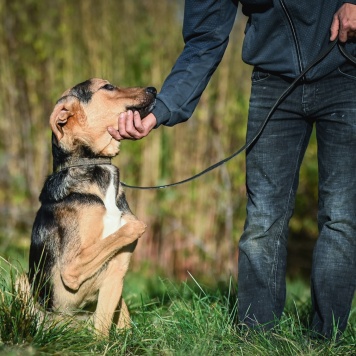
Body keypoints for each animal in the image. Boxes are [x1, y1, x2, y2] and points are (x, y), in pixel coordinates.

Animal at [27, 77, 156, 334]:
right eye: (107, 87)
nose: (154, 89)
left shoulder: (116, 273)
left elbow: (103, 331)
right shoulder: (71, 268)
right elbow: (130, 226)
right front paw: (132, 225)